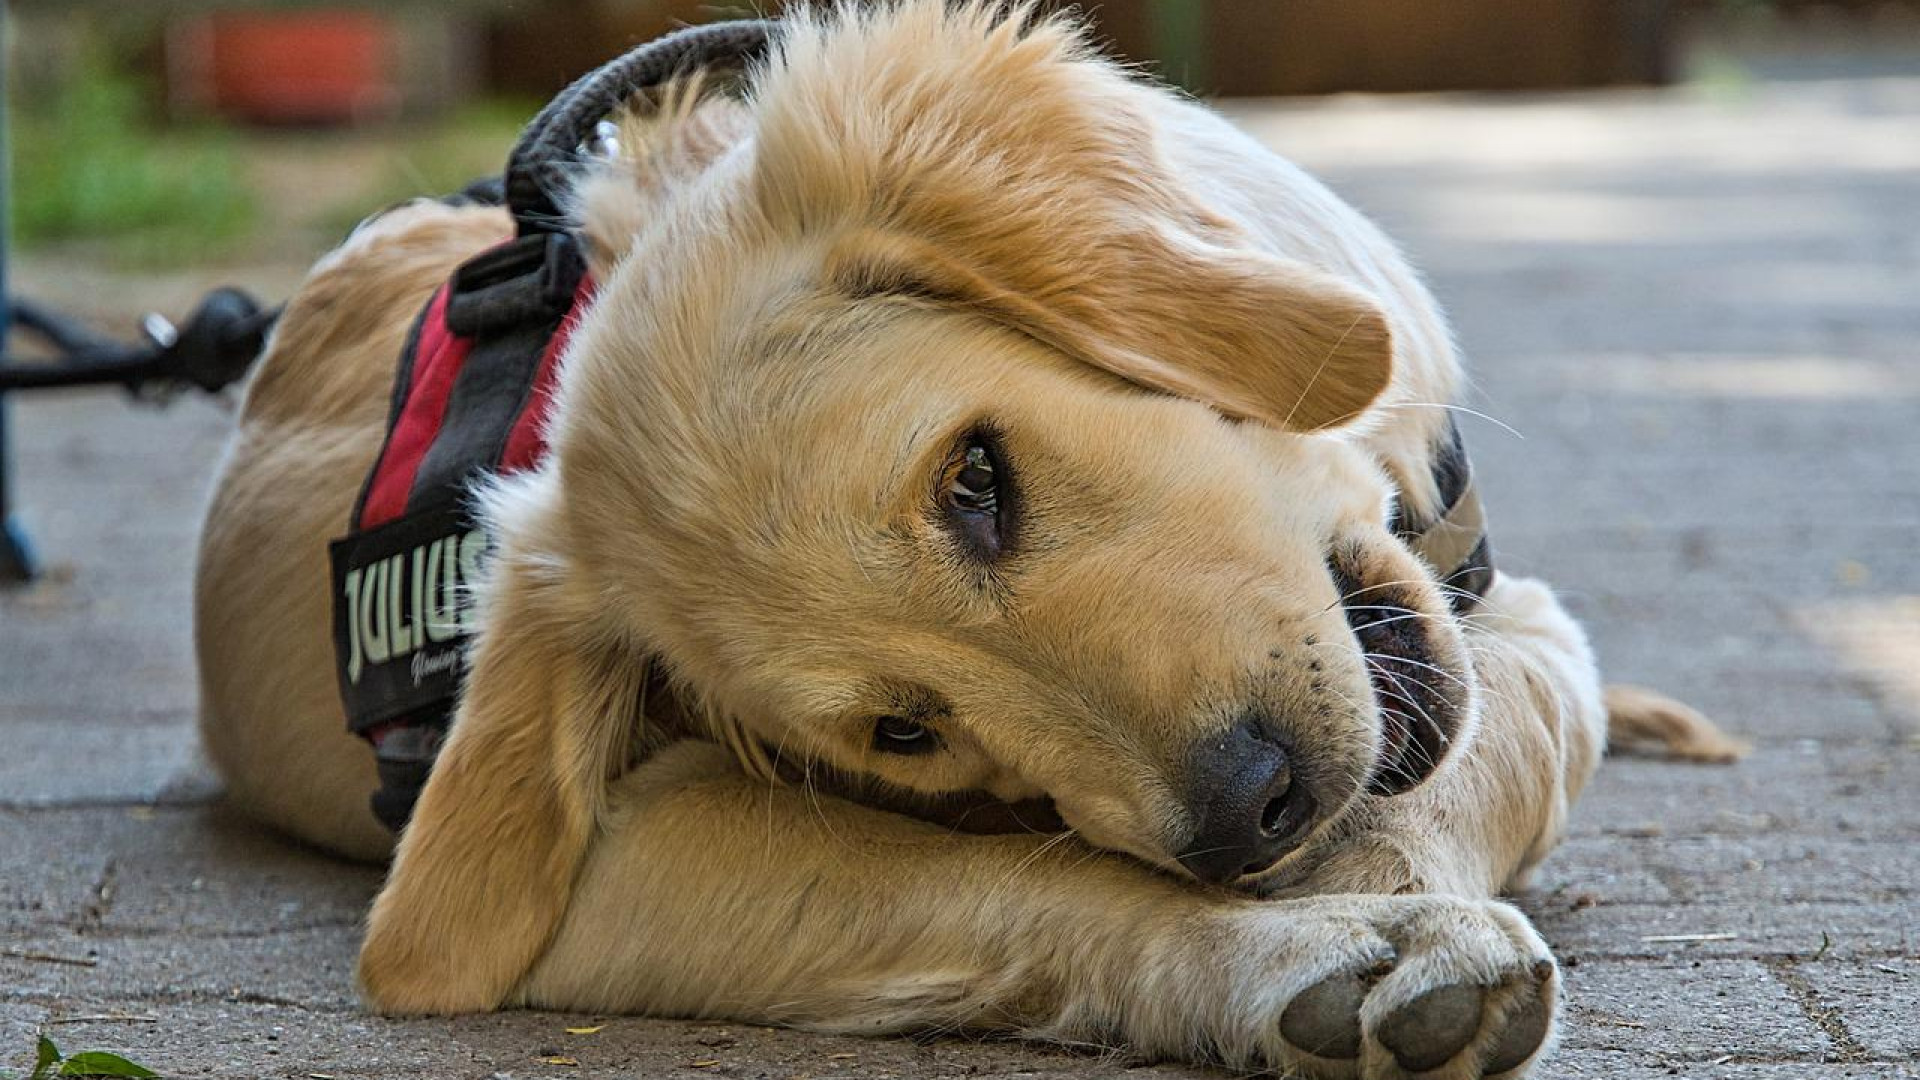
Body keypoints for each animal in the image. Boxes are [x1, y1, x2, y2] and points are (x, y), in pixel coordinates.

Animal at [194, 4, 1743, 1068]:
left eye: (974, 481)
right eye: (906, 732)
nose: (1252, 810)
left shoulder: (1518, 623)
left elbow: (1470, 771)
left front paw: (1378, 896)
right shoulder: (613, 869)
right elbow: (1021, 878)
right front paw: (1307, 950)